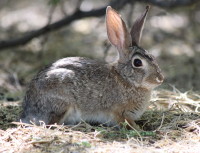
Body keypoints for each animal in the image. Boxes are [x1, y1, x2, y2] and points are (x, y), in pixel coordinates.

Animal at [18, 5, 163, 130]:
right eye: (137, 62)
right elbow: (127, 124)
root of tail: (28, 110)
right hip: (61, 103)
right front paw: (140, 130)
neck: (125, 78)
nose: (160, 78)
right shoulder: (119, 113)